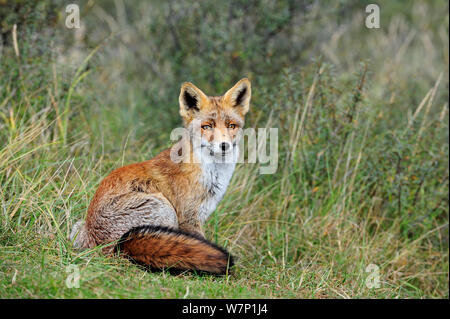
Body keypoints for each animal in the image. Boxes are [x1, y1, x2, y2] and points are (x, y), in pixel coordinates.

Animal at [71, 78, 253, 276]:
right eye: (207, 126)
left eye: (231, 125)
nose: (224, 145)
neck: (211, 172)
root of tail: (116, 246)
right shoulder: (188, 218)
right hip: (164, 209)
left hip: (77, 227)